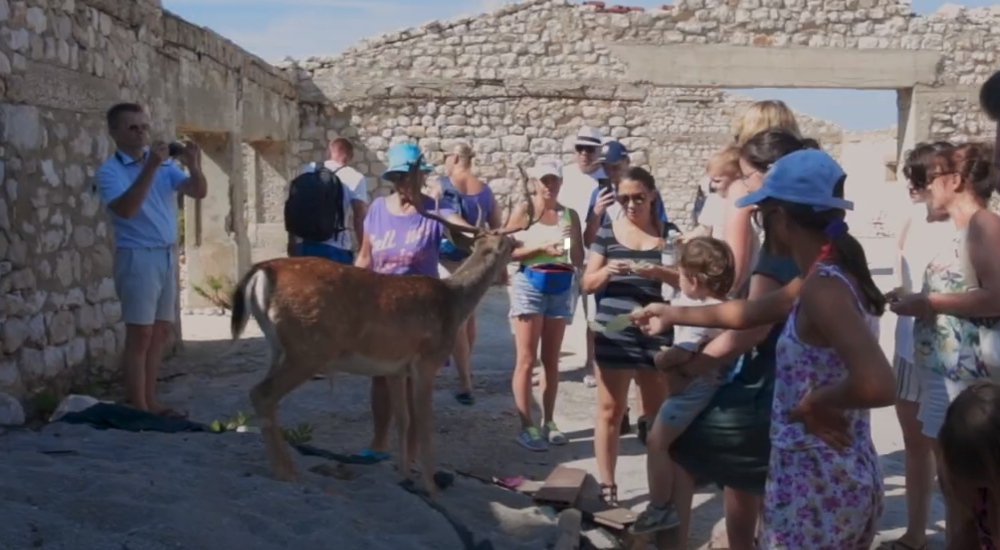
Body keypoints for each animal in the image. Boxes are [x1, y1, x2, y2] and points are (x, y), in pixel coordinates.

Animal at [231, 157, 540, 498]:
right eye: (509, 245)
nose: (509, 270)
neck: (453, 302)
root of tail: (262, 271)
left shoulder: (395, 369)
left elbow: (402, 421)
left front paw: (405, 475)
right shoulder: (426, 361)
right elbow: (424, 425)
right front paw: (431, 486)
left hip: (280, 346)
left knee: (262, 394)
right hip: (308, 347)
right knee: (262, 394)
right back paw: (286, 472)